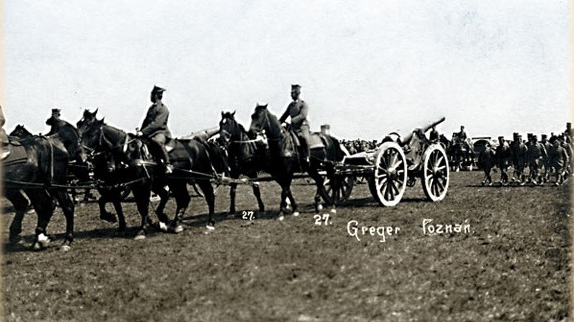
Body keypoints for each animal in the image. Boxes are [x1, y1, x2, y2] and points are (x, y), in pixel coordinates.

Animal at [2, 122, 86, 250]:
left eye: (18, 132)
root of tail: (55, 140)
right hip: (33, 186)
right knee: (44, 204)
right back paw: (38, 238)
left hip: (55, 184)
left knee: (67, 206)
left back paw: (66, 240)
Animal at [77, 110, 230, 236]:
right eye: (79, 128)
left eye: (91, 133)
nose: (81, 156)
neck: (128, 151)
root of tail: (200, 143)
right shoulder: (128, 184)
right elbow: (108, 201)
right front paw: (112, 218)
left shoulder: (141, 184)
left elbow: (142, 206)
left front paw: (141, 230)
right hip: (177, 181)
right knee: (183, 199)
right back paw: (175, 224)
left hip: (200, 178)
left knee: (208, 196)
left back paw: (209, 223)